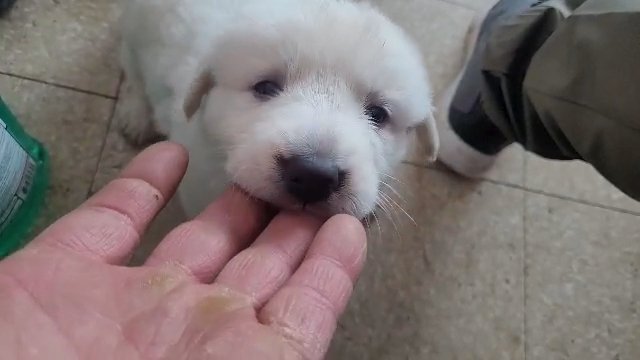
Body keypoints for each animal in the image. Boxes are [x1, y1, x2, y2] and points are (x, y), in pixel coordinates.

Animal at [117, 0, 438, 219]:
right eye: (265, 87)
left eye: (378, 114)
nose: (313, 176)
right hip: (133, 29)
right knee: (132, 69)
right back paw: (137, 115)